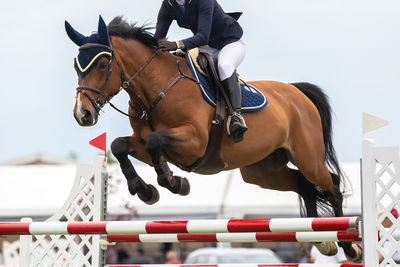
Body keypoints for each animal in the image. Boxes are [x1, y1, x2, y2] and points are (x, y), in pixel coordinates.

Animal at [66, 15, 362, 262]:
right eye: (77, 66)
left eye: (102, 63)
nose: (82, 114)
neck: (156, 88)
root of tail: (296, 93)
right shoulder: (146, 144)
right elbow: (120, 145)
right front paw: (146, 190)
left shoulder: (193, 142)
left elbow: (155, 142)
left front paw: (174, 183)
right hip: (262, 171)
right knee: (303, 184)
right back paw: (323, 241)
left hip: (308, 158)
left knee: (331, 184)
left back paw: (349, 247)